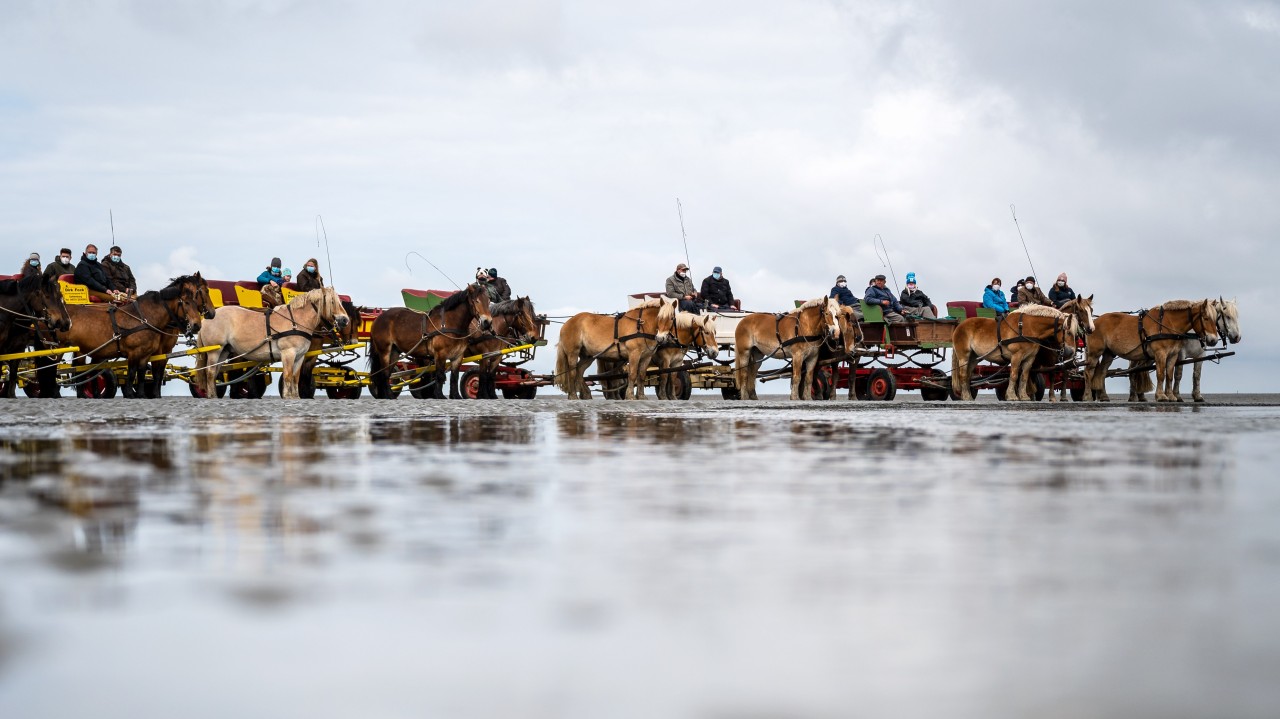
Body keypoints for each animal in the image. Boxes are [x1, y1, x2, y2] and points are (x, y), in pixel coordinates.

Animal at [53, 272, 215, 396]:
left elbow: (143, 374)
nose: (197, 325)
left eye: (195, 298)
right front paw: (134, 394)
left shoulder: (149, 354)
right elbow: (134, 374)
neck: (144, 318)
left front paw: (144, 394)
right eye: (187, 302)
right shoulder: (135, 353)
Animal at [194, 285, 348, 396]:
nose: (345, 320)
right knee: (210, 373)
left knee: (214, 373)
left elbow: (295, 378)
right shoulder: (288, 353)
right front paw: (287, 397)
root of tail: (207, 317)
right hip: (214, 351)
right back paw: (212, 396)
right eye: (332, 302)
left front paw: (295, 397)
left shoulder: (299, 356)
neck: (296, 321)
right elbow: (287, 377)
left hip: (224, 352)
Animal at [558, 295, 686, 396]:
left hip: (587, 356)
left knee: (579, 371)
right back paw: (573, 395)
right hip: (573, 353)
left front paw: (641, 396)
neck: (641, 325)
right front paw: (630, 395)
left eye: (671, 318)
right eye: (659, 317)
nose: (660, 338)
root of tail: (567, 323)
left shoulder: (646, 356)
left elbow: (641, 376)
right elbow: (632, 374)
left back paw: (586, 394)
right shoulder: (634, 354)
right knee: (572, 372)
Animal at [947, 294, 1095, 399]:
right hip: (964, 355)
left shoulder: (1030, 358)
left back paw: (967, 395)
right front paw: (1012, 395)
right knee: (962, 374)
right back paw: (966, 396)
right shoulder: (1017, 356)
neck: (1028, 328)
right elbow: (1014, 375)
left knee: (968, 375)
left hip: (975, 356)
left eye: (1075, 333)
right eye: (1068, 332)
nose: (1071, 351)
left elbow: (1024, 376)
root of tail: (960, 325)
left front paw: (1024, 396)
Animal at [1085, 295, 1223, 399]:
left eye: (1216, 318)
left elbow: (1169, 375)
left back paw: (1103, 396)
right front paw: (1161, 396)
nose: (1213, 340)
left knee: (1101, 372)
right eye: (1206, 318)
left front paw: (1170, 396)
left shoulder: (1173, 355)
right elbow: (1161, 374)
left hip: (1109, 353)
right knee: (1088, 372)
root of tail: (1094, 323)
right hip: (1094, 353)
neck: (1168, 324)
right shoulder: (1160, 353)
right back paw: (1087, 396)